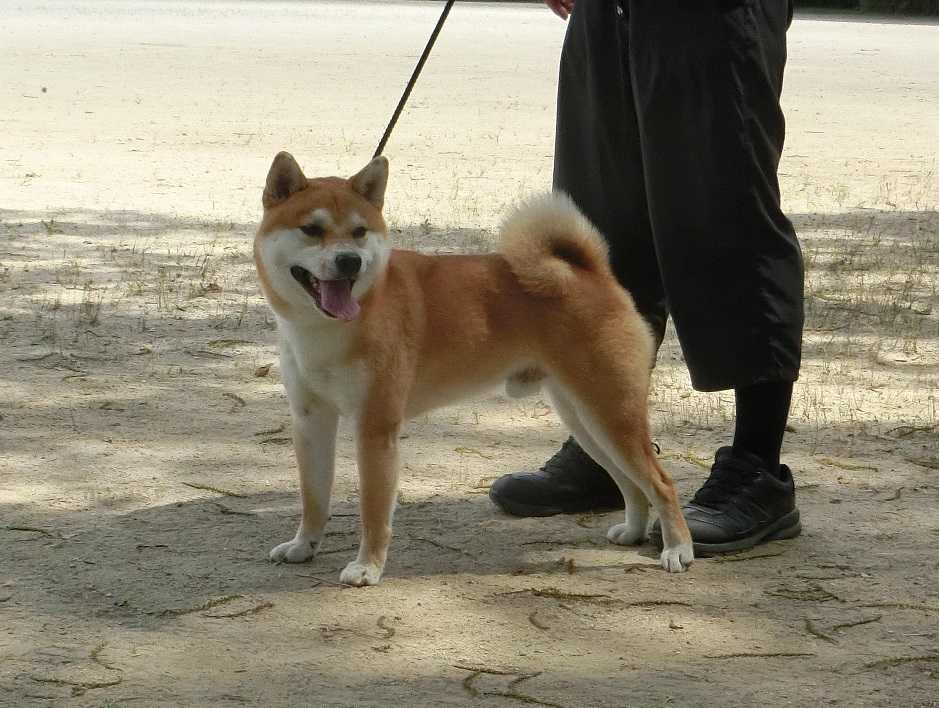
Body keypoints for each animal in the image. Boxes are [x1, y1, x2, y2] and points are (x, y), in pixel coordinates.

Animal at [254, 151, 693, 586]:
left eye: (360, 231)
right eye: (312, 229)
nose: (350, 261)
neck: (326, 327)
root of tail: (591, 272)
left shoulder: (375, 428)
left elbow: (373, 511)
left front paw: (367, 566)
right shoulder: (311, 421)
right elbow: (313, 498)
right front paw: (303, 546)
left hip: (609, 412)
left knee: (662, 483)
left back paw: (678, 549)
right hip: (585, 419)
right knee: (630, 483)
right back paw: (633, 531)